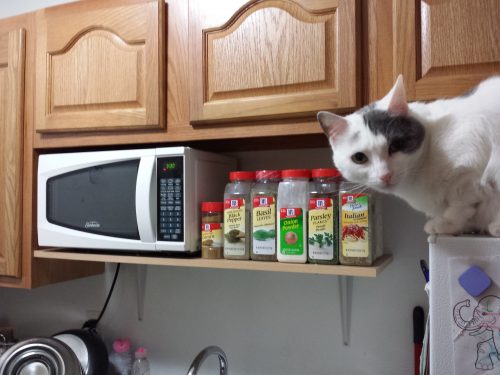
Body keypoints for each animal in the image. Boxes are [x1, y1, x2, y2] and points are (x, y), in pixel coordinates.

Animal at [316, 75, 500, 236]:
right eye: (359, 158)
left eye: (396, 146)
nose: (385, 175)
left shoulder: (469, 167)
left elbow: (459, 205)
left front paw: (446, 224)